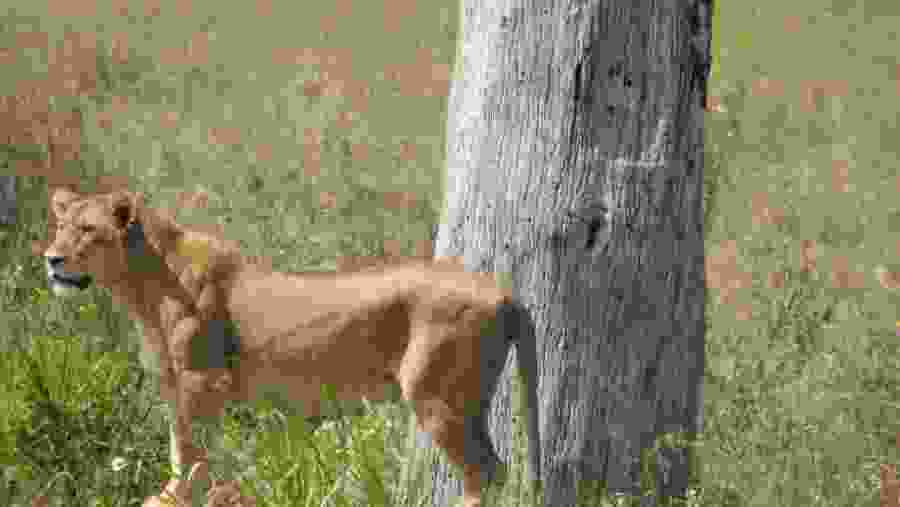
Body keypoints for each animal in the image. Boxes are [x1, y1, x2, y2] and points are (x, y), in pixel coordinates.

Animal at [43, 187, 541, 507]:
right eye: (60, 226)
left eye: (87, 230)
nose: (50, 259)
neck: (141, 283)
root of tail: (503, 291)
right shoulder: (180, 385)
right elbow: (185, 447)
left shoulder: (202, 381)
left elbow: (190, 451)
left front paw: (175, 497)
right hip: (466, 401)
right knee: (496, 471)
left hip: (436, 396)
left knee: (486, 475)